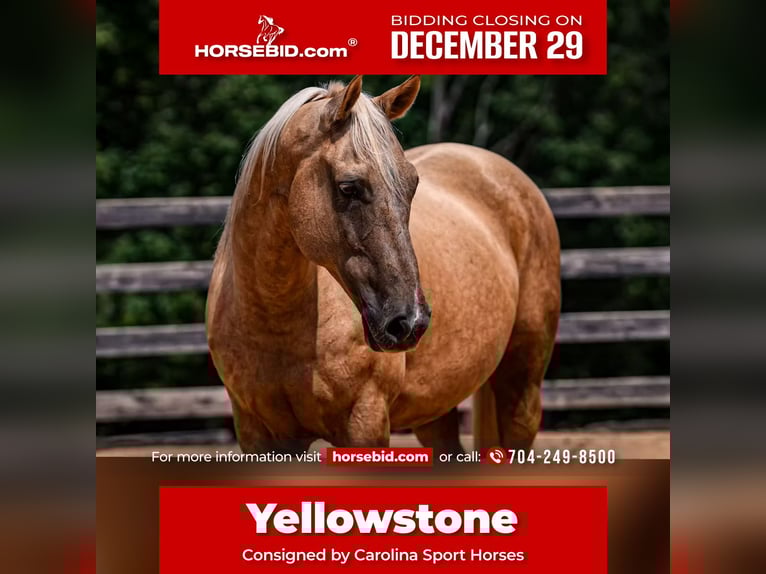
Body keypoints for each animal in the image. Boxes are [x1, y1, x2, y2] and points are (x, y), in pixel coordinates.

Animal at [206, 76, 560, 454]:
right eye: (348, 187)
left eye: (413, 184)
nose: (410, 322)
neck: (276, 325)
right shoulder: (257, 432)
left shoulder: (365, 421)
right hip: (435, 409)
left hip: (521, 383)